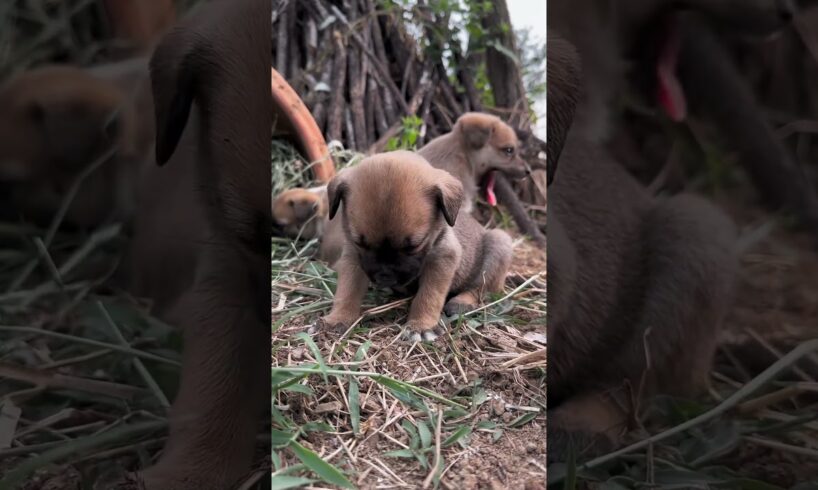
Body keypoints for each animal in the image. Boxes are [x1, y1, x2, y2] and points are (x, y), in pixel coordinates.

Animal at [314, 152, 510, 340]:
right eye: (360, 243)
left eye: (414, 246)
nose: (385, 276)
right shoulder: (353, 257)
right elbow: (347, 291)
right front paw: (337, 319)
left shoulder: (442, 260)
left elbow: (428, 296)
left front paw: (421, 325)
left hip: (500, 242)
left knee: (479, 288)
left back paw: (461, 302)